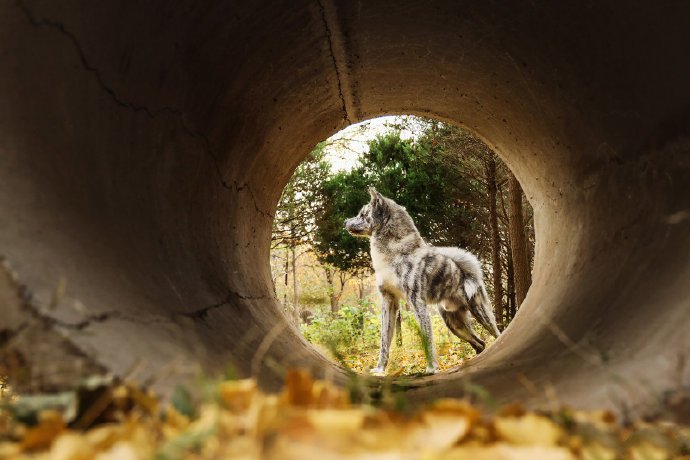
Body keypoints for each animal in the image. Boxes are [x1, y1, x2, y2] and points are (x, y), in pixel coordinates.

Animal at [344, 187, 500, 374]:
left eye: (362, 214)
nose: (345, 221)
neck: (395, 252)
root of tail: (466, 273)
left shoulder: (417, 302)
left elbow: (428, 340)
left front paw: (432, 368)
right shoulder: (389, 301)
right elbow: (384, 342)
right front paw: (380, 369)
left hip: (480, 313)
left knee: (496, 334)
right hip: (455, 324)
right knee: (480, 344)